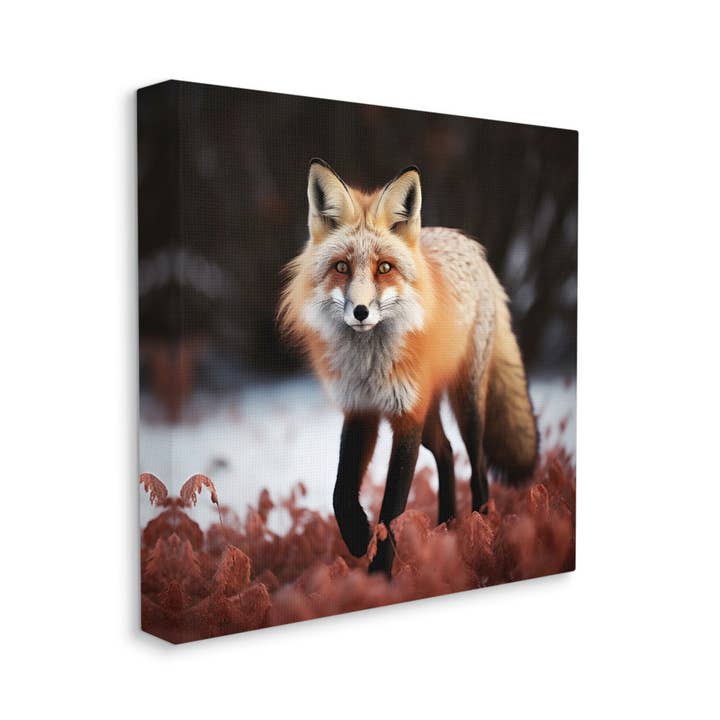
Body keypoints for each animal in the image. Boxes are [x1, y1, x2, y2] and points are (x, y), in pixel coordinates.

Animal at [279, 158, 538, 575]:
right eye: (341, 267)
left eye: (384, 267)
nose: (361, 311)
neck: (370, 365)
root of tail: (471, 246)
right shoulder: (361, 409)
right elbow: (340, 492)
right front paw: (358, 536)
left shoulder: (406, 417)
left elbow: (392, 508)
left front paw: (380, 574)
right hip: (429, 416)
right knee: (446, 452)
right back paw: (448, 525)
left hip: (465, 403)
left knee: (477, 465)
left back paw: (481, 529)